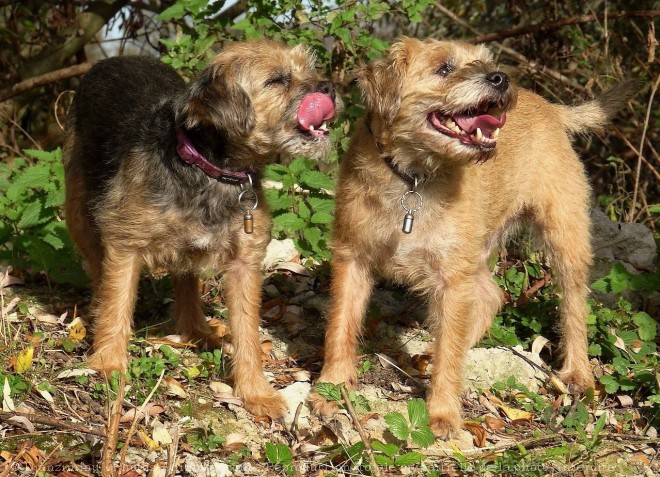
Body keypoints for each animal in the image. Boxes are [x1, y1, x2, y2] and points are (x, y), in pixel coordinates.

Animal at [63, 40, 336, 416]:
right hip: (79, 212)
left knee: (186, 282)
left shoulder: (244, 265)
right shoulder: (125, 244)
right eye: (277, 80)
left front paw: (255, 392)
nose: (329, 88)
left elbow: (247, 330)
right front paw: (109, 363)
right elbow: (117, 304)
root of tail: (113, 59)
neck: (208, 168)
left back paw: (197, 330)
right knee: (97, 269)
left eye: (307, 68)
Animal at [314, 39, 640, 436]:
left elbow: (451, 351)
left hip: (564, 239)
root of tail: (550, 108)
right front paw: (331, 387)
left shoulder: (452, 281)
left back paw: (577, 373)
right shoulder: (352, 258)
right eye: (444, 68)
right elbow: (340, 326)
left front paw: (442, 414)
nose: (500, 78)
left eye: (485, 61)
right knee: (490, 296)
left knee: (573, 307)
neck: (413, 177)